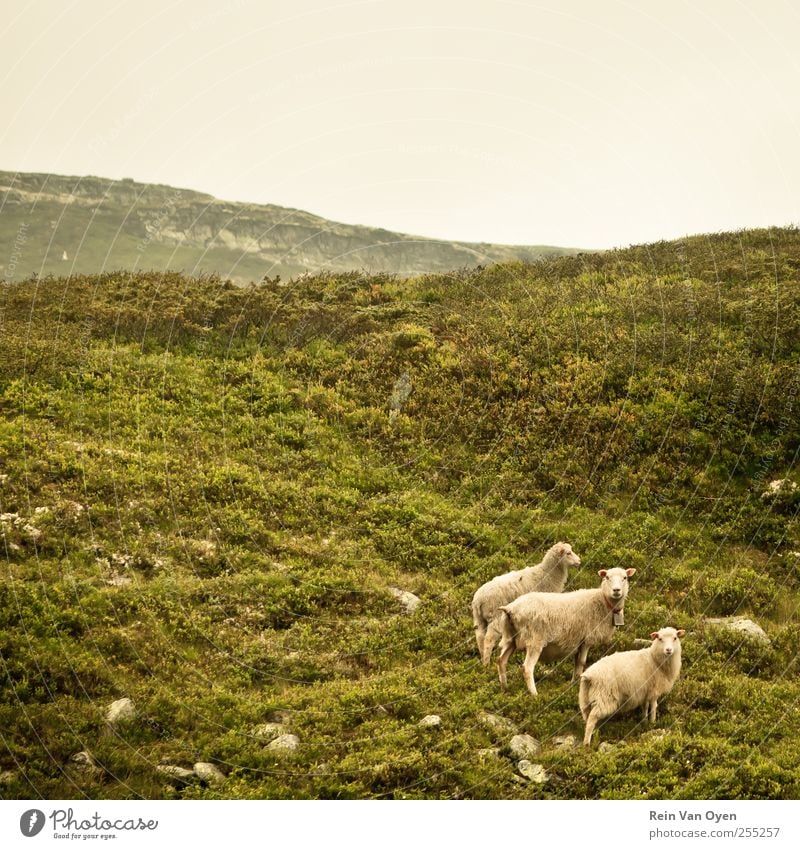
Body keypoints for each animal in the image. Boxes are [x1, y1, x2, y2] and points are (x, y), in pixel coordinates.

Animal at [494, 564, 636, 696]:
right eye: (607, 577)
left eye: (625, 577)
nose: (616, 590)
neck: (603, 603)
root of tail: (510, 608)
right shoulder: (587, 639)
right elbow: (582, 662)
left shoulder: (579, 640)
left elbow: (577, 663)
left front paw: (574, 683)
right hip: (535, 640)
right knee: (527, 668)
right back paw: (534, 694)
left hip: (510, 638)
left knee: (501, 661)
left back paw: (505, 688)